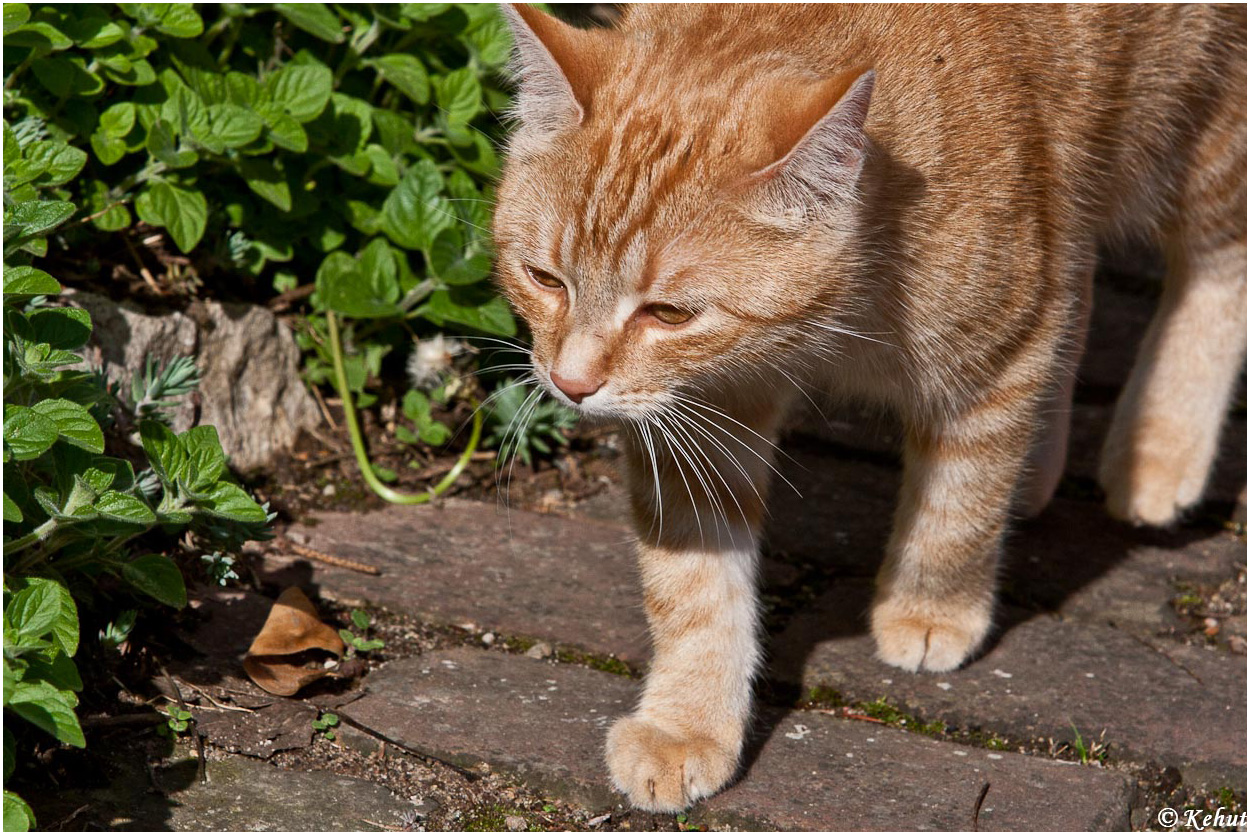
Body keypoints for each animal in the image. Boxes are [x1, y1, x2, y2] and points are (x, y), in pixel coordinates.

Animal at [492, 3, 1245, 810]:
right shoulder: (697, 412)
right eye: (544, 278)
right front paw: (686, 721)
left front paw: (931, 609)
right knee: (1075, 276)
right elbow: (693, 586)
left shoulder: (998, 357)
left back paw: (1160, 450)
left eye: (668, 312)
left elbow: (959, 507)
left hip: (1200, 117)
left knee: (1218, 257)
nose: (570, 382)